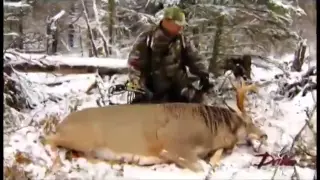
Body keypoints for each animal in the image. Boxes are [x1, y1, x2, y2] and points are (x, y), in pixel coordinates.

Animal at [43, 81, 266, 172]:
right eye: (250, 122)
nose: (264, 135)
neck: (208, 130)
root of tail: (62, 122)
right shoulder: (175, 144)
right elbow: (199, 166)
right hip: (82, 136)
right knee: (47, 139)